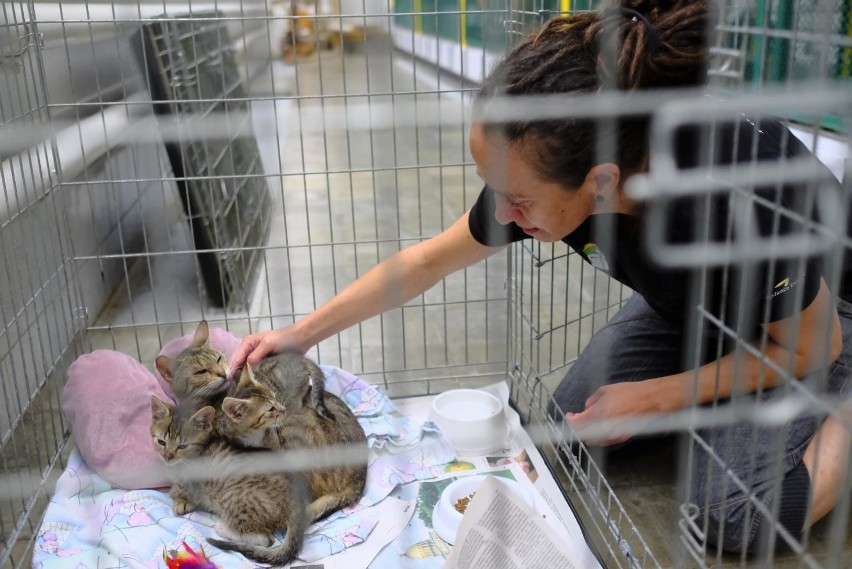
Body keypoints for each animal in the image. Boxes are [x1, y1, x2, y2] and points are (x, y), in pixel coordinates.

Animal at [152, 394, 310, 564]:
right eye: (161, 442)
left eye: (182, 446)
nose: (167, 457)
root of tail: (297, 503)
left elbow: (181, 490)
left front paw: (179, 499)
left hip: (233, 497)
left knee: (265, 539)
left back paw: (223, 529)